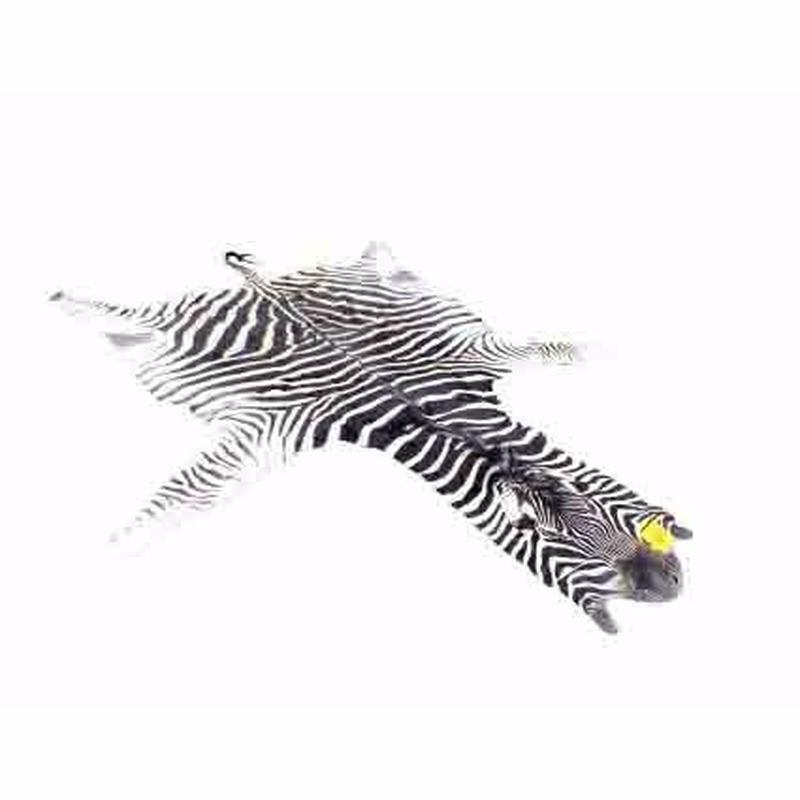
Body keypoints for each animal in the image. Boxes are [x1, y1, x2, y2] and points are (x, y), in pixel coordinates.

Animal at [50, 242, 692, 634]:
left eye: (591, 508)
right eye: (534, 532)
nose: (667, 587)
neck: (425, 413)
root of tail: (263, 287)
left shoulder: (477, 357)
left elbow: (562, 348)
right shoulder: (270, 434)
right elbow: (177, 500)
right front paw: (112, 551)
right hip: (171, 320)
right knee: (126, 314)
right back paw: (68, 299)